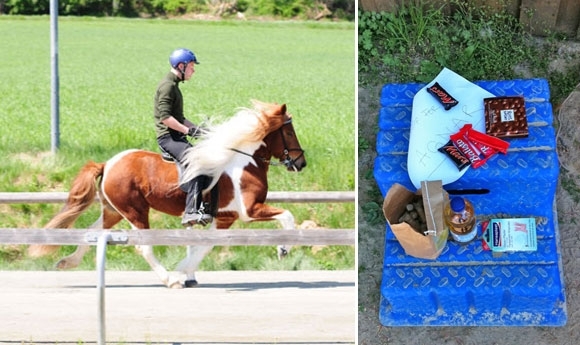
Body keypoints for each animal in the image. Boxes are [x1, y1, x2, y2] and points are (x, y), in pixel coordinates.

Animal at [27, 100, 306, 288]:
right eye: (289, 132)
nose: (300, 163)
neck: (243, 161)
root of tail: (108, 164)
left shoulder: (223, 217)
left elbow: (203, 246)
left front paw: (188, 273)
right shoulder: (248, 211)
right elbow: (287, 216)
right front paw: (283, 248)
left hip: (113, 211)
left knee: (93, 233)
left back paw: (68, 262)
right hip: (135, 212)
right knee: (144, 248)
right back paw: (169, 279)